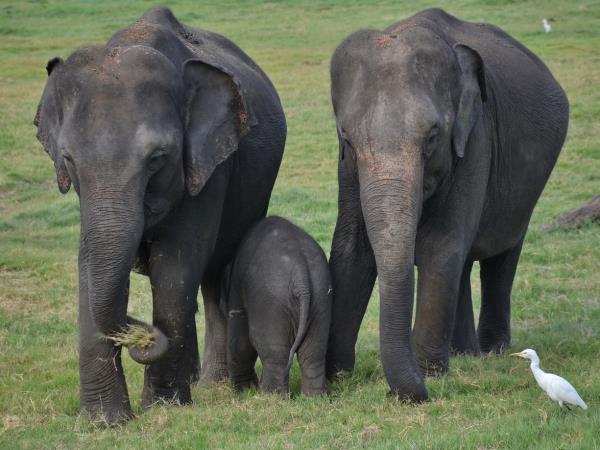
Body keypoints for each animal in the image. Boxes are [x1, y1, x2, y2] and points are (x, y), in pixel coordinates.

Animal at [34, 7, 288, 422]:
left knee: (214, 276)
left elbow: (176, 265)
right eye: (68, 160)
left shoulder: (208, 167)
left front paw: (163, 405)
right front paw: (105, 421)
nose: (143, 337)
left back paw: (210, 384)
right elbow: (89, 261)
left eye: (157, 158)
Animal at [223, 214, 330, 394]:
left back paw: (270, 395)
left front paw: (243, 391)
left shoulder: (237, 288)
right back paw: (314, 397)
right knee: (314, 351)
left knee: (275, 353)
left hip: (271, 302)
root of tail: (302, 276)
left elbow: (239, 337)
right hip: (321, 294)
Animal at [328, 7, 568, 400]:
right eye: (346, 137)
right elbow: (352, 247)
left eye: (432, 137)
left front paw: (431, 374)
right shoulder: (346, 168)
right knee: (465, 262)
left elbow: (440, 246)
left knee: (502, 255)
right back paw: (465, 353)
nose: (415, 393)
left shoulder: (474, 140)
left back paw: (492, 351)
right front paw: (335, 376)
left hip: (525, 191)